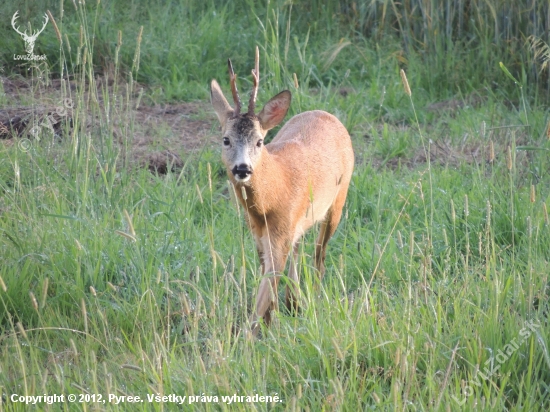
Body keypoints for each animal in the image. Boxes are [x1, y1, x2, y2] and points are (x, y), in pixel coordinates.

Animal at [209, 46, 356, 336]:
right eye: (226, 139)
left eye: (259, 141)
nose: (242, 168)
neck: (272, 197)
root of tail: (327, 114)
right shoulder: (259, 235)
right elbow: (268, 283)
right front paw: (271, 322)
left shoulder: (280, 233)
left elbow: (265, 291)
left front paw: (251, 335)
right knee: (299, 251)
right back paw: (294, 302)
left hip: (339, 199)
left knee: (319, 255)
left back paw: (311, 299)